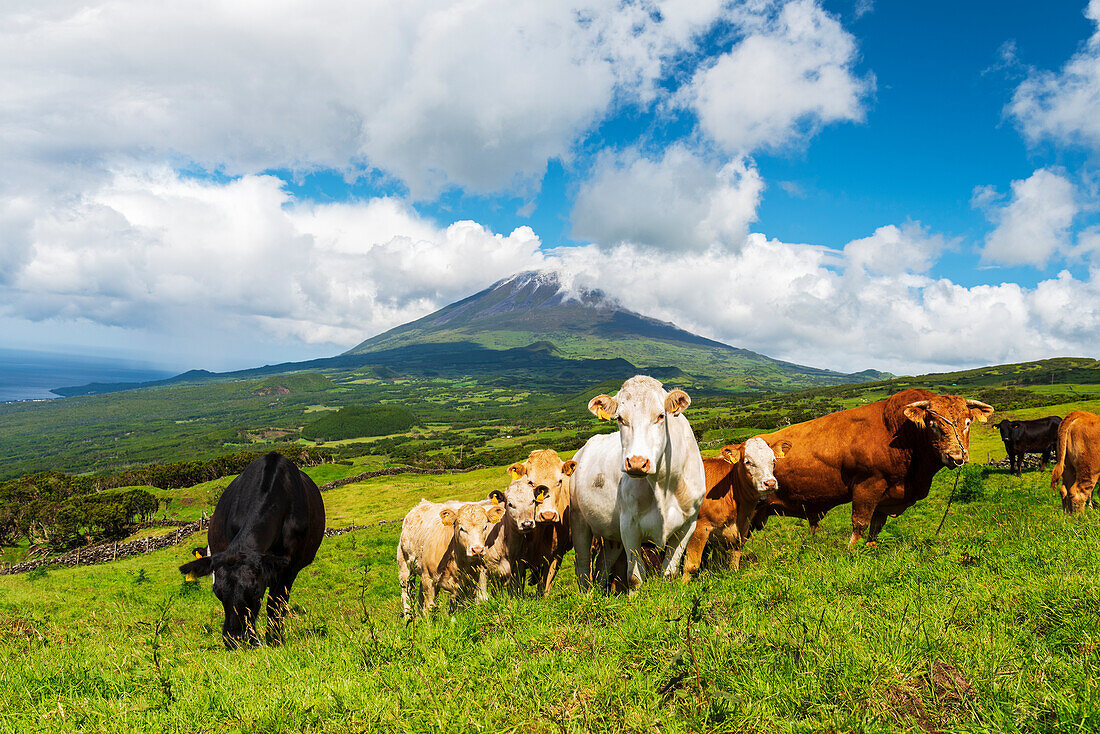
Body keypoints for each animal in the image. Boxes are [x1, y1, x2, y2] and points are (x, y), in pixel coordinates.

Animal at [178, 453, 323, 647]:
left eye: (255, 591)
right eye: (217, 592)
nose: (235, 639)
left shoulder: (290, 567)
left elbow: (276, 605)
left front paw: (274, 640)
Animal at [572, 376, 708, 594]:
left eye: (661, 416)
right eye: (620, 418)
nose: (636, 462)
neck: (664, 487)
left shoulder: (688, 524)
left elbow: (669, 572)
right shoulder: (629, 524)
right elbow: (635, 577)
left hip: (611, 534)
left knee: (603, 563)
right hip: (579, 521)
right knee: (583, 564)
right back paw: (587, 595)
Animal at [752, 389, 994, 545]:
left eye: (968, 423)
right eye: (933, 425)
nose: (956, 456)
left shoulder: (886, 496)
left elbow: (876, 527)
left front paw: (870, 548)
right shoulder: (867, 486)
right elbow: (860, 522)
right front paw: (852, 551)